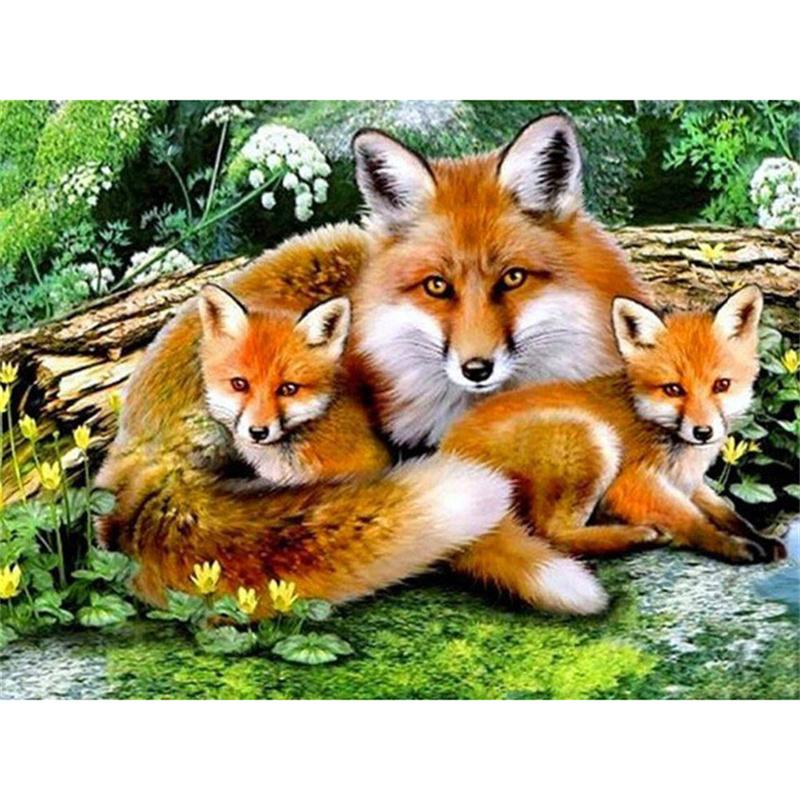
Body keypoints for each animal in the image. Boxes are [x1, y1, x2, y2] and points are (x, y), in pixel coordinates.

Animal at [442, 285, 786, 575]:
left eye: (721, 385)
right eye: (673, 389)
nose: (703, 432)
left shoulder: (688, 483)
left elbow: (727, 511)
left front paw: (760, 537)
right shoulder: (631, 484)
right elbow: (692, 521)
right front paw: (730, 545)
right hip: (592, 440)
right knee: (552, 536)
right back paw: (637, 535)